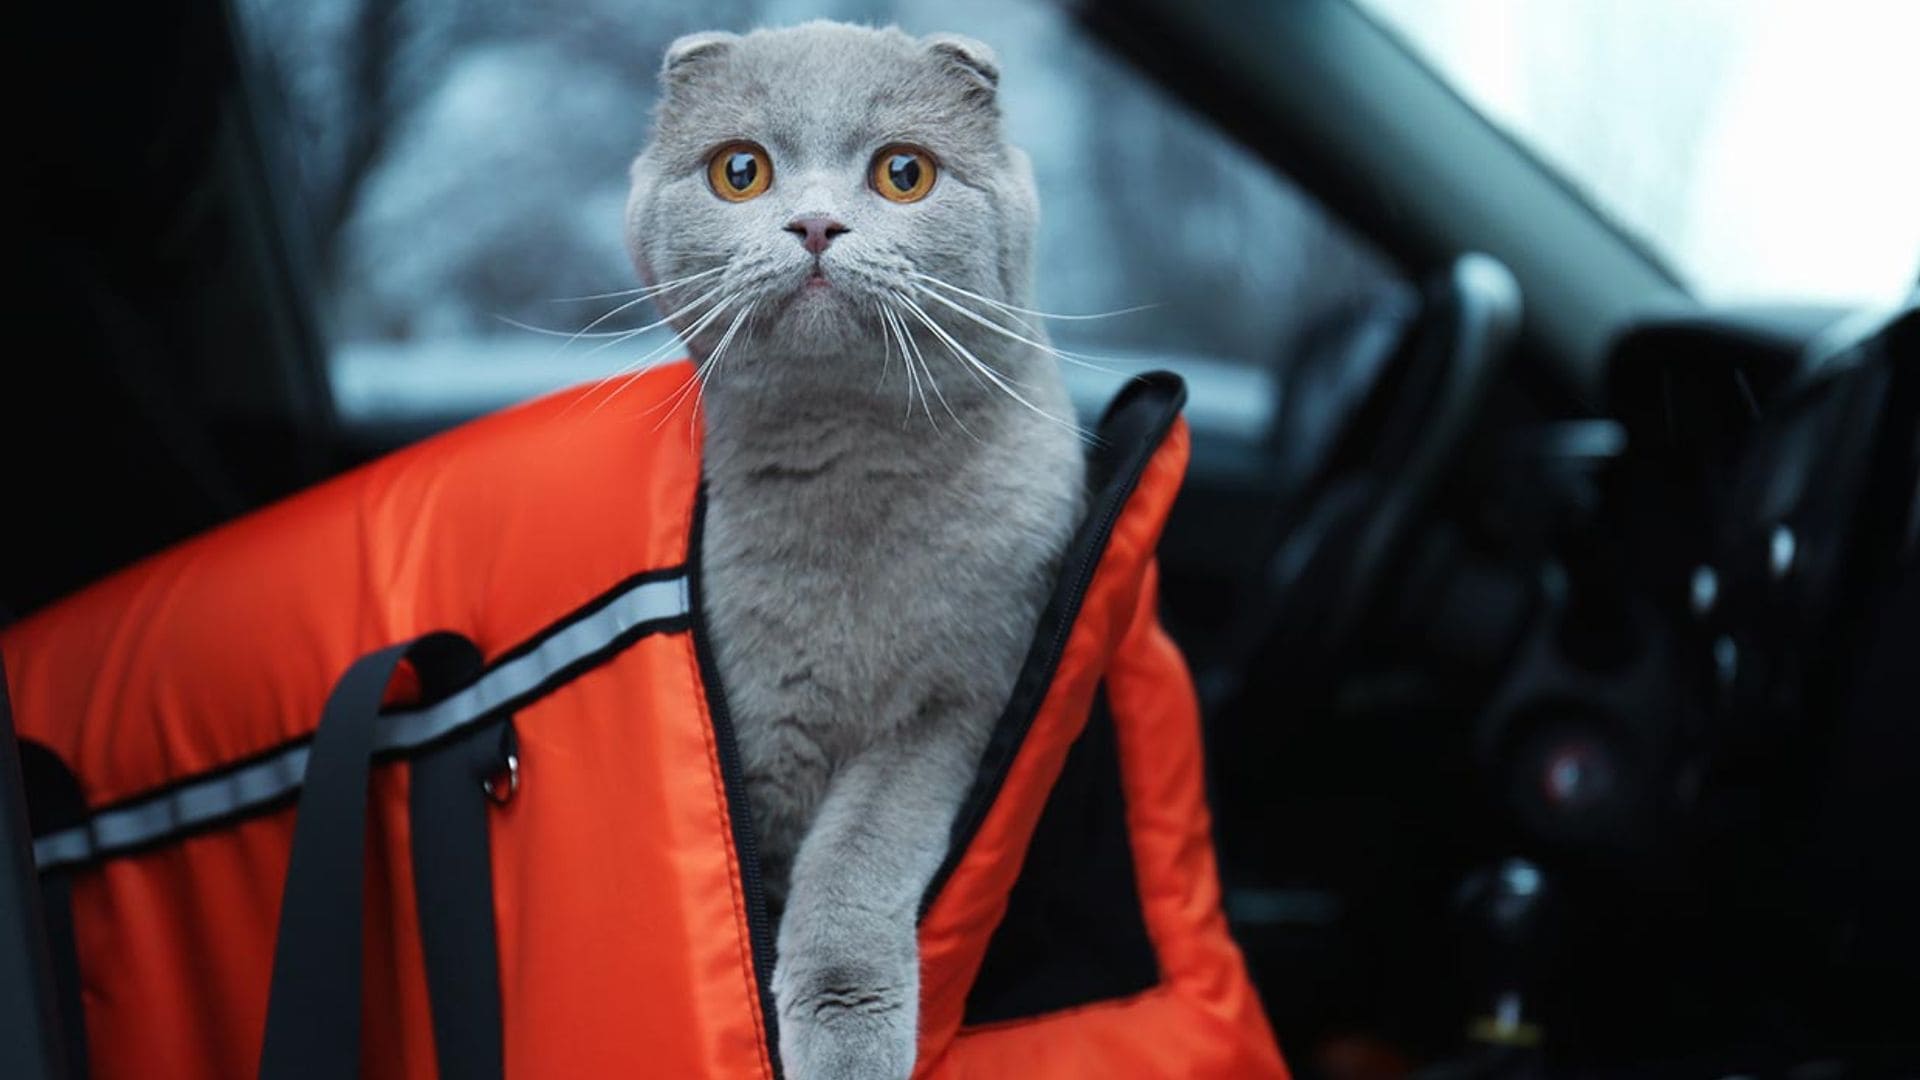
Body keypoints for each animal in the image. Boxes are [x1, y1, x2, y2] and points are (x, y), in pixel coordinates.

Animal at [622, 16, 1090, 1076]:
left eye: (904, 173)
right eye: (741, 171)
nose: (815, 226)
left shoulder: (959, 700)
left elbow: (857, 852)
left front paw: (846, 1034)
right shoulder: (752, 729)